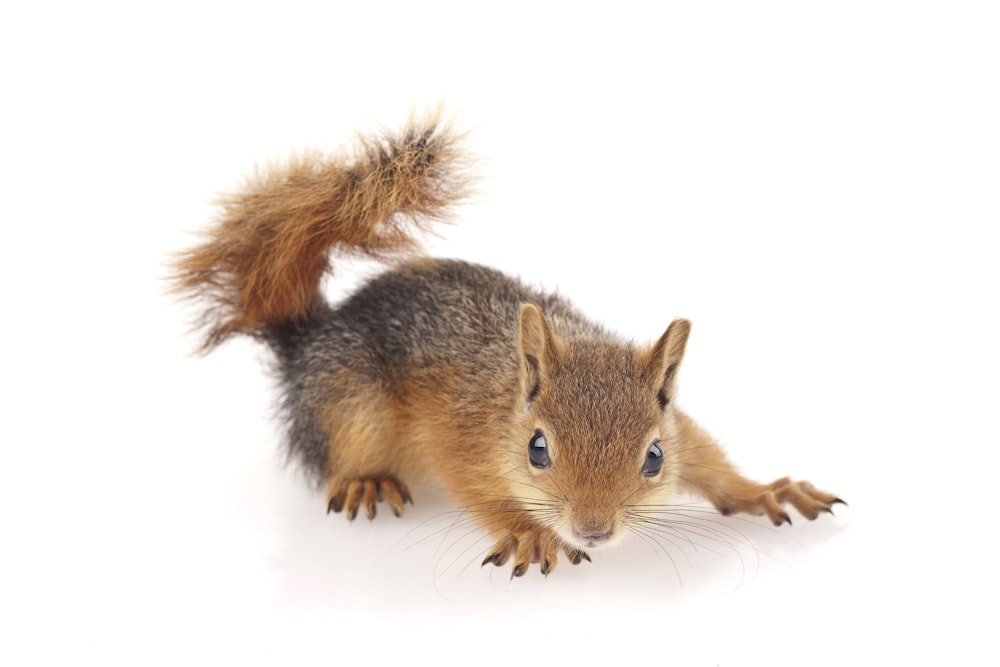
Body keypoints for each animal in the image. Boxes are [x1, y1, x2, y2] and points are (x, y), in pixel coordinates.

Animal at [172, 111, 844, 580]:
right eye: (537, 450)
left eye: (654, 458)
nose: (592, 530)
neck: (509, 396)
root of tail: (313, 336)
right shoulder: (459, 435)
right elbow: (475, 488)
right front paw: (527, 531)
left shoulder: (682, 430)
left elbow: (711, 463)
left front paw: (766, 491)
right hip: (351, 402)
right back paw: (366, 481)